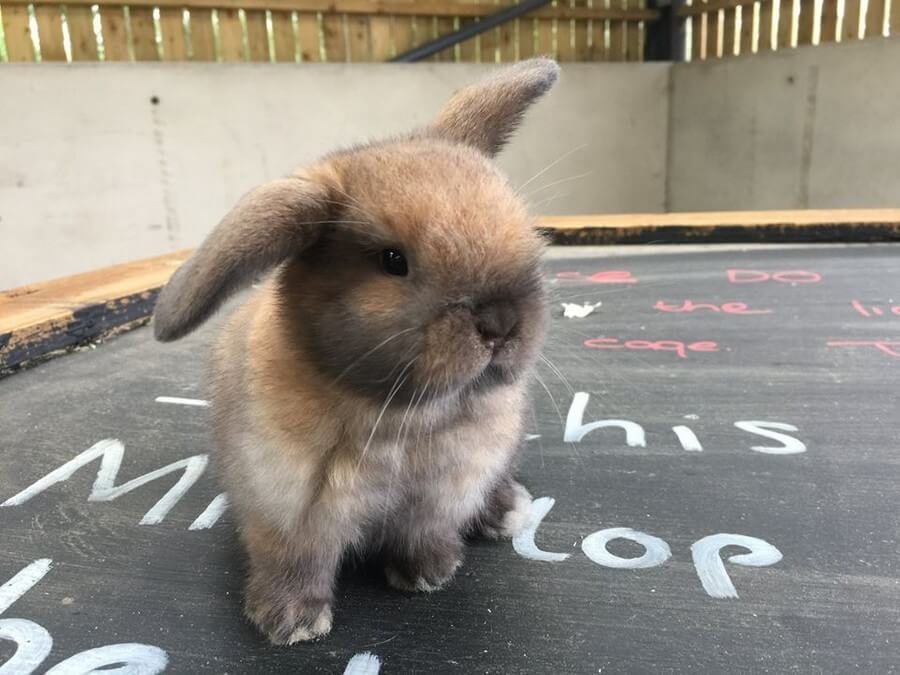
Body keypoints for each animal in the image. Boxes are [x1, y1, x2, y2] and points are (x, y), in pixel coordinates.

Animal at [154, 60, 560, 648]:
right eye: (393, 260)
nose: (501, 324)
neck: (400, 418)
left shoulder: (441, 496)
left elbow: (425, 535)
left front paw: (428, 575)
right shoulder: (287, 509)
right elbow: (297, 563)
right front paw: (290, 624)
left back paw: (505, 511)